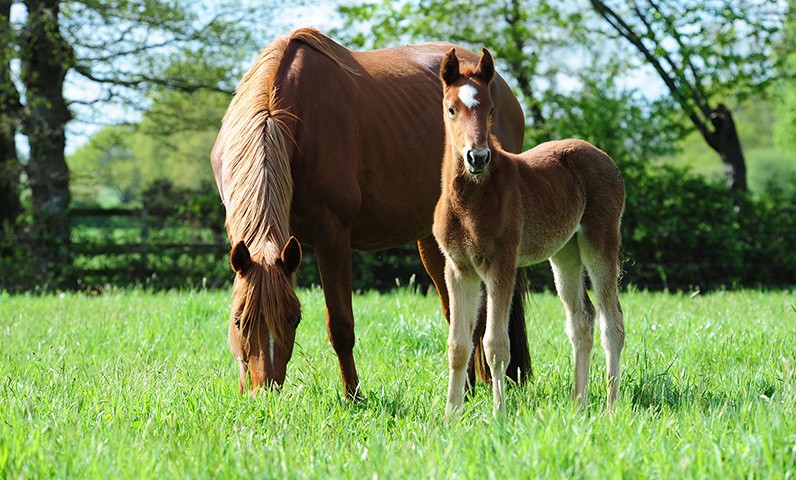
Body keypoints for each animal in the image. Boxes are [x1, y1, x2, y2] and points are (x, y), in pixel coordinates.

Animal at [211, 28, 536, 400]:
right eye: (239, 320)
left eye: (294, 319)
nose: (263, 393)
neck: (288, 114)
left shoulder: (332, 236)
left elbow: (340, 326)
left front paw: (353, 396)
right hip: (435, 242)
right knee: (460, 312)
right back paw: (467, 388)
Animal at [436, 48, 628, 422]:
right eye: (452, 109)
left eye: (491, 110)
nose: (477, 157)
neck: (472, 201)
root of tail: (604, 157)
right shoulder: (458, 269)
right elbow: (458, 345)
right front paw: (450, 418)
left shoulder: (501, 265)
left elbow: (495, 344)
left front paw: (499, 415)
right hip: (565, 252)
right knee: (582, 319)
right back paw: (578, 404)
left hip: (599, 241)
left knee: (612, 320)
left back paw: (611, 407)